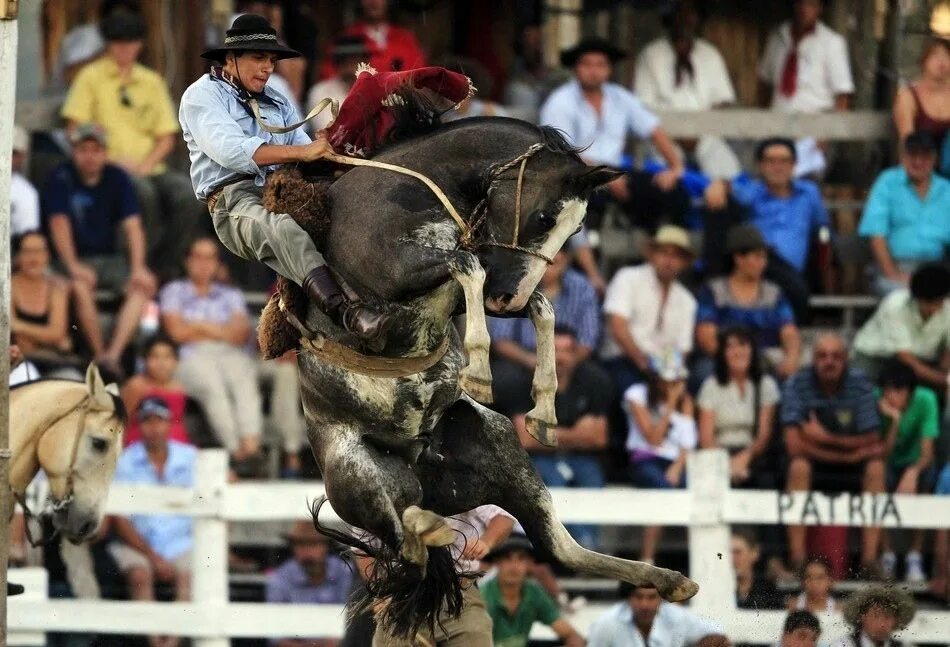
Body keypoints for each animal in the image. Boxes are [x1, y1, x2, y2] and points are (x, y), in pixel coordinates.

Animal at [260, 114, 700, 636]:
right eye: (545, 218)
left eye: (575, 229)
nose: (508, 300)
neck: (412, 187)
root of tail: (417, 456)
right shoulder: (402, 272)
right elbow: (467, 265)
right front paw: (481, 370)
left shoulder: (484, 280)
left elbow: (538, 304)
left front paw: (543, 408)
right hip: (361, 475)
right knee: (408, 540)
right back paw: (427, 528)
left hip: (498, 449)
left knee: (556, 548)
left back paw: (670, 580)